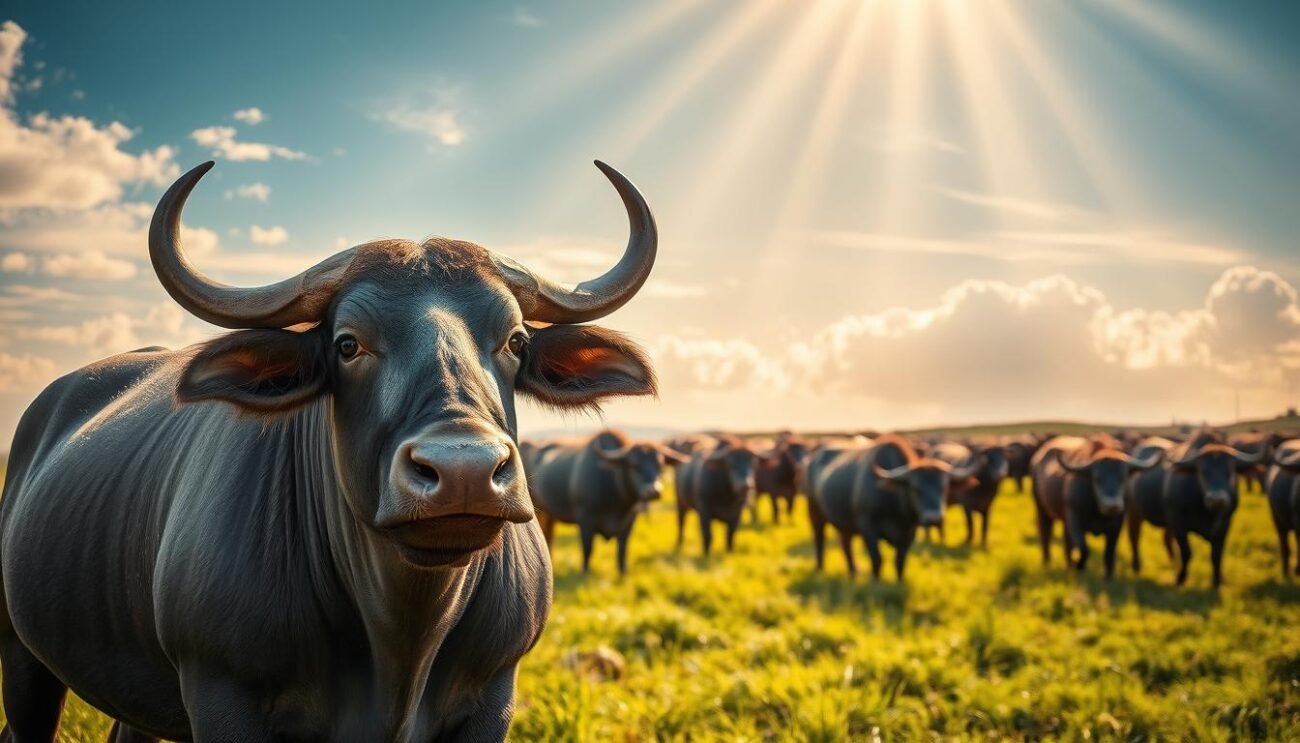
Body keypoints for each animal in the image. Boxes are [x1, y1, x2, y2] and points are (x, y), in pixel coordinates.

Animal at [0, 160, 660, 739]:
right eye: (348, 344)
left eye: (516, 340)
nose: (464, 471)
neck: (400, 642)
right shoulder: (221, 693)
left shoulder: (494, 696)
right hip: (24, 658)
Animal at [526, 430, 686, 574]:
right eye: (634, 464)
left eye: (661, 465)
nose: (653, 491)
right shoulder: (586, 519)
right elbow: (588, 548)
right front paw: (585, 572)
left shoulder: (630, 520)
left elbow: (622, 549)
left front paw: (623, 572)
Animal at [806, 434, 980, 580]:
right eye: (915, 487)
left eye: (944, 487)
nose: (933, 518)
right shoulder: (868, 528)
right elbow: (877, 559)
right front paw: (875, 582)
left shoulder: (909, 534)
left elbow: (900, 561)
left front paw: (899, 582)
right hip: (815, 512)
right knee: (819, 539)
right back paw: (820, 568)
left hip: (844, 522)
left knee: (845, 544)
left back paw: (853, 571)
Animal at [1031, 435, 1162, 578]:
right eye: (1097, 479)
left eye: (1123, 478)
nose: (1112, 506)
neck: (1097, 512)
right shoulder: (1075, 522)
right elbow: (1084, 548)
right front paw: (1079, 566)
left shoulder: (1116, 526)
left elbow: (1109, 553)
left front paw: (1109, 576)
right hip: (1042, 509)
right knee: (1045, 534)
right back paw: (1048, 563)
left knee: (1067, 544)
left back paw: (1069, 566)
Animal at [1129, 432, 1265, 586]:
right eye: (1203, 471)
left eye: (1230, 471)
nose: (1217, 499)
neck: (1207, 514)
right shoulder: (1178, 523)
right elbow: (1186, 552)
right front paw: (1180, 578)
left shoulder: (1225, 524)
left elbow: (1217, 554)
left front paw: (1217, 581)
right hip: (1133, 511)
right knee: (1134, 536)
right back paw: (1136, 566)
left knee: (1166, 539)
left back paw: (1173, 563)